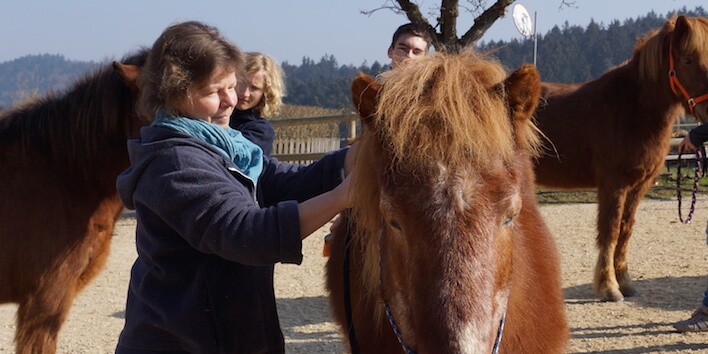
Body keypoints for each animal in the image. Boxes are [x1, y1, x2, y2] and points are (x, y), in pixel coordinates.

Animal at [532, 14, 708, 302]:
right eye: (687, 59)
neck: (632, 108)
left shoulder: (638, 186)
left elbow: (625, 231)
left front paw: (625, 282)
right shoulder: (614, 184)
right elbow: (610, 230)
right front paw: (609, 287)